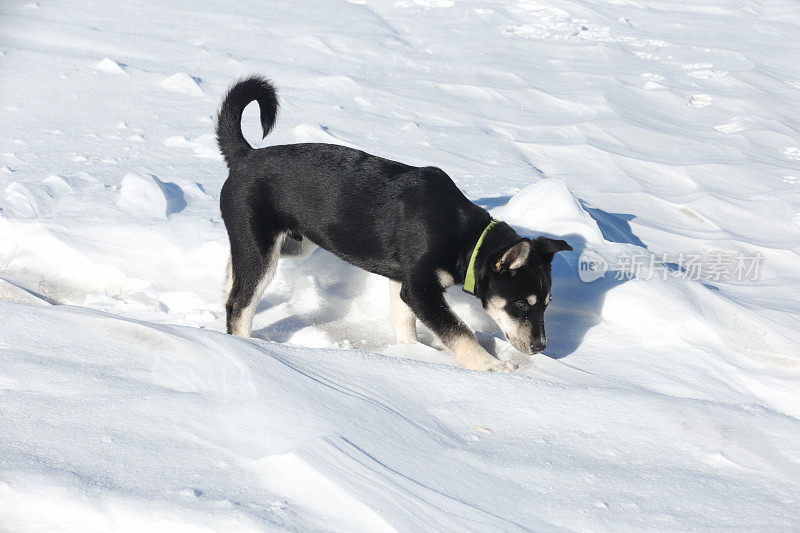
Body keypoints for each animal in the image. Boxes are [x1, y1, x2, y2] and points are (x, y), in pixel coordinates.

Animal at [216, 77, 572, 372]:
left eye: (546, 304)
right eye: (521, 304)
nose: (540, 347)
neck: (467, 239)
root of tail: (245, 156)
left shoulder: (403, 281)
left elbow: (405, 324)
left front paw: (411, 351)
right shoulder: (420, 289)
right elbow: (459, 331)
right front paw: (490, 366)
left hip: (290, 244)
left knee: (234, 274)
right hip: (263, 250)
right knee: (239, 306)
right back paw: (248, 349)